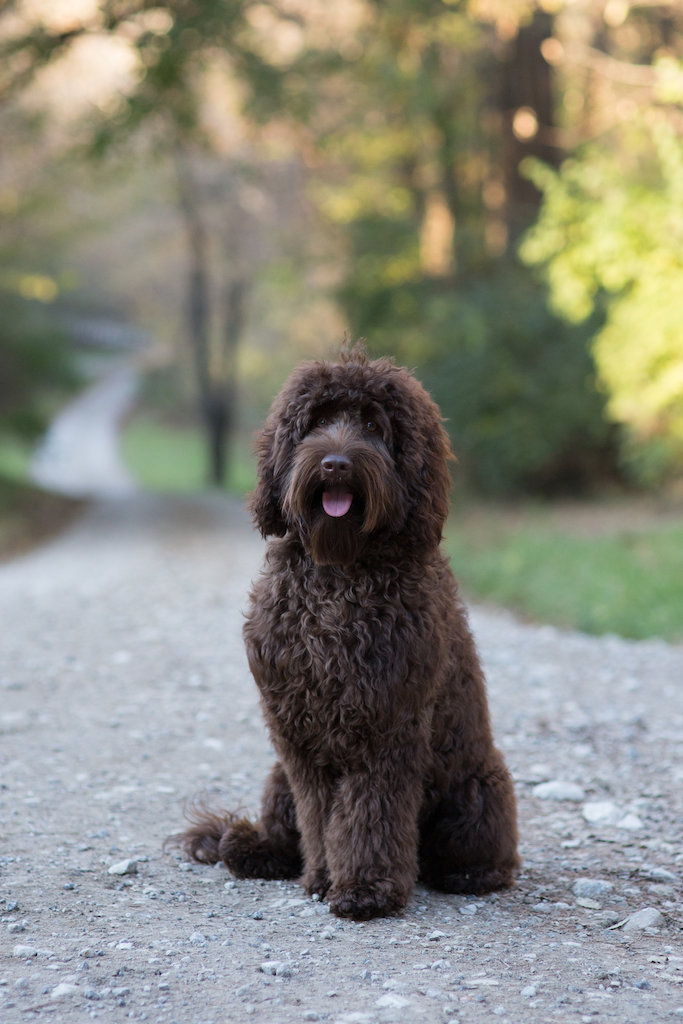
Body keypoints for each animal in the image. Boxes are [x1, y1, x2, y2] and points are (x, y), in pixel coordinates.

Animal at [181, 344, 518, 921]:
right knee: (282, 831)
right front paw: (321, 877)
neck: (340, 572)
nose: (335, 462)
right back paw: (248, 847)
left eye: (374, 425)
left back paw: (471, 873)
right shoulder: (298, 733)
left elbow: (368, 814)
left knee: (480, 853)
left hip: (477, 788)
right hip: (277, 774)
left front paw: (365, 888)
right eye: (316, 422)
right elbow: (320, 817)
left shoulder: (387, 725)